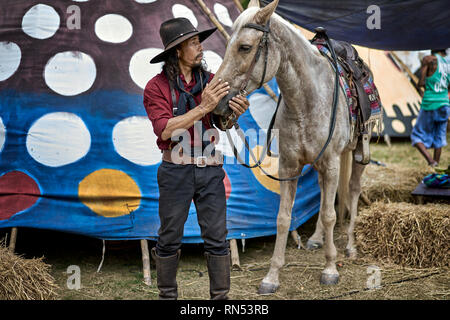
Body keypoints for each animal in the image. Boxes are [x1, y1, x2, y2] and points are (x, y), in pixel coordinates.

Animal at [213, 0, 368, 296]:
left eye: (245, 47)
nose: (218, 107)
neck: (306, 101)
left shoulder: (331, 162)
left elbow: (330, 214)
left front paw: (330, 269)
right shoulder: (289, 166)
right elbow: (283, 218)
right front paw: (271, 276)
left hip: (359, 152)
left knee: (353, 190)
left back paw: (351, 246)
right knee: (323, 192)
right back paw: (317, 238)